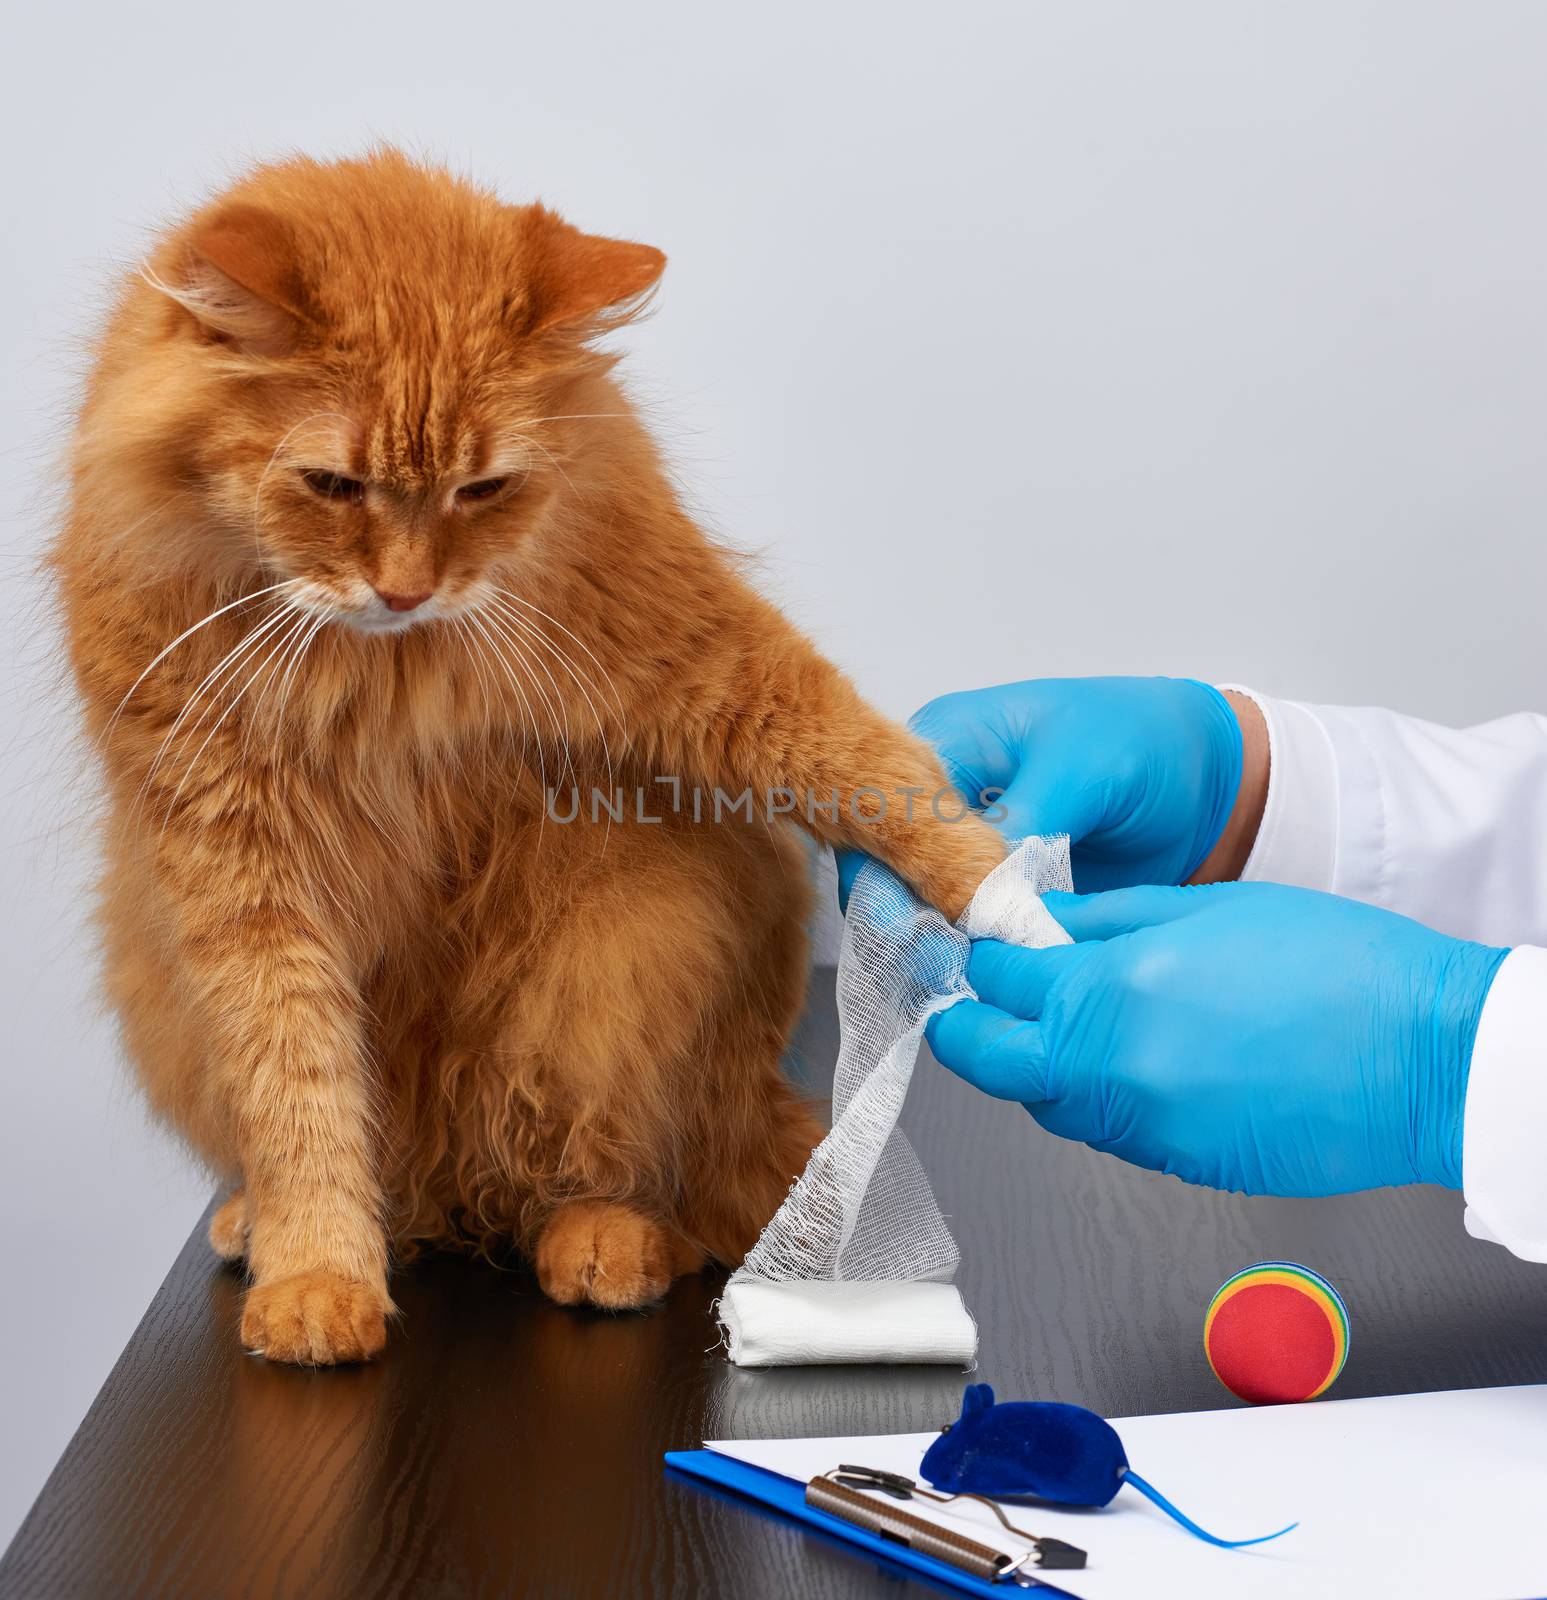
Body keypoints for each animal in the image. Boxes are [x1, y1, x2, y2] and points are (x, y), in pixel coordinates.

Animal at [51, 152, 1004, 1363]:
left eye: (481, 489)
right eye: (332, 486)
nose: (405, 589)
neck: (382, 668)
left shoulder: (693, 651)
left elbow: (867, 767)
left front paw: (1009, 889)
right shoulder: (238, 861)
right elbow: (296, 1084)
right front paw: (317, 1270)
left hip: (624, 950)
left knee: (629, 1180)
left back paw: (601, 1240)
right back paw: (279, 1220)